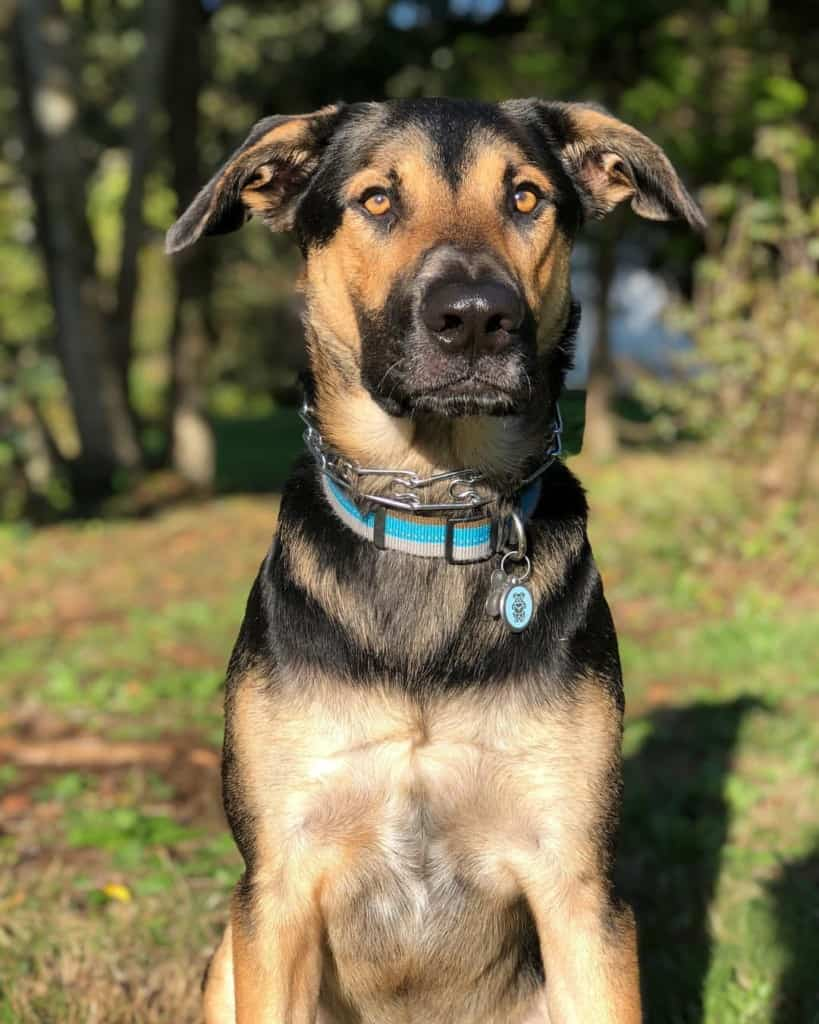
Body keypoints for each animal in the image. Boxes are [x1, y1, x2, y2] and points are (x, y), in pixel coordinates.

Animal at [167, 97, 704, 1024]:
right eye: (377, 200)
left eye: (524, 197)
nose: (476, 317)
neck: (432, 509)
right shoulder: (276, 887)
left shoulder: (579, 889)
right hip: (223, 962)